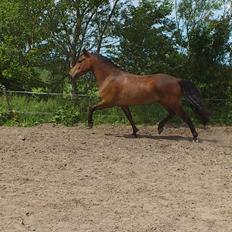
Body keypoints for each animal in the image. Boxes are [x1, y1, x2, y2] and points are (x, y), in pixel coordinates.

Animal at [68, 49, 208, 141]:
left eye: (80, 60)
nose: (71, 74)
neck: (110, 77)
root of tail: (177, 80)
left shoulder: (108, 102)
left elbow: (91, 108)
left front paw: (90, 124)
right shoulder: (123, 104)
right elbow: (130, 117)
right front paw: (135, 132)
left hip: (172, 102)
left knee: (185, 117)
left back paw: (195, 136)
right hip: (164, 102)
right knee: (172, 114)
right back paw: (160, 128)